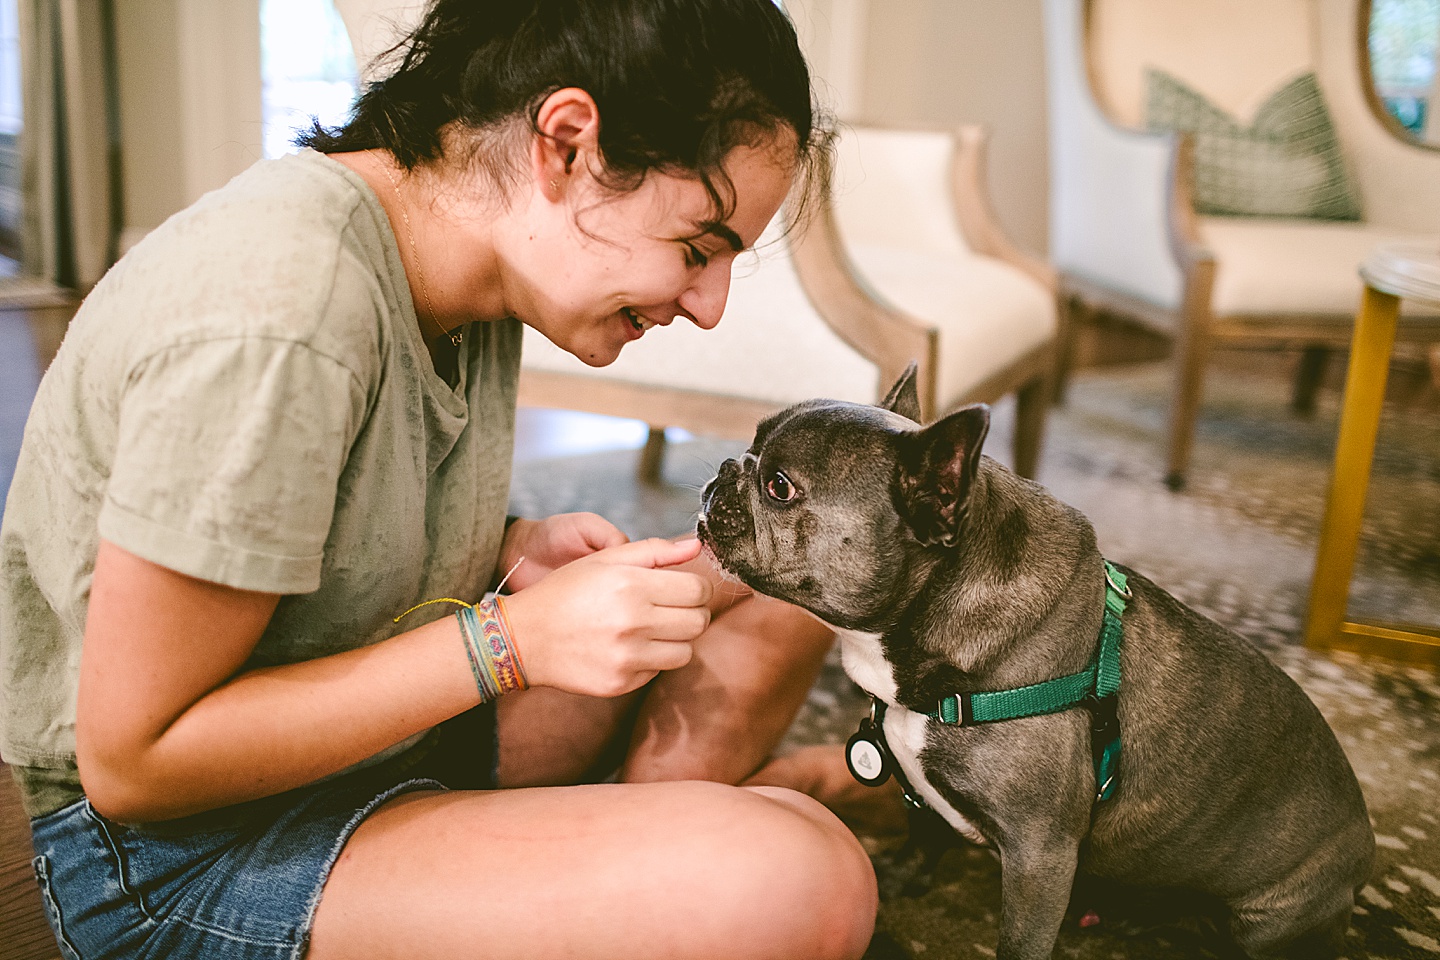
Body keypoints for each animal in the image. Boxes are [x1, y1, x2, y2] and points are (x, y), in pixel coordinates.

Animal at [696, 368, 1370, 960]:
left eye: (779, 486)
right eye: (751, 448)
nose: (726, 469)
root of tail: (1361, 851)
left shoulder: (1039, 858)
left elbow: (1020, 942)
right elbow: (925, 835)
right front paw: (902, 874)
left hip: (1268, 919)